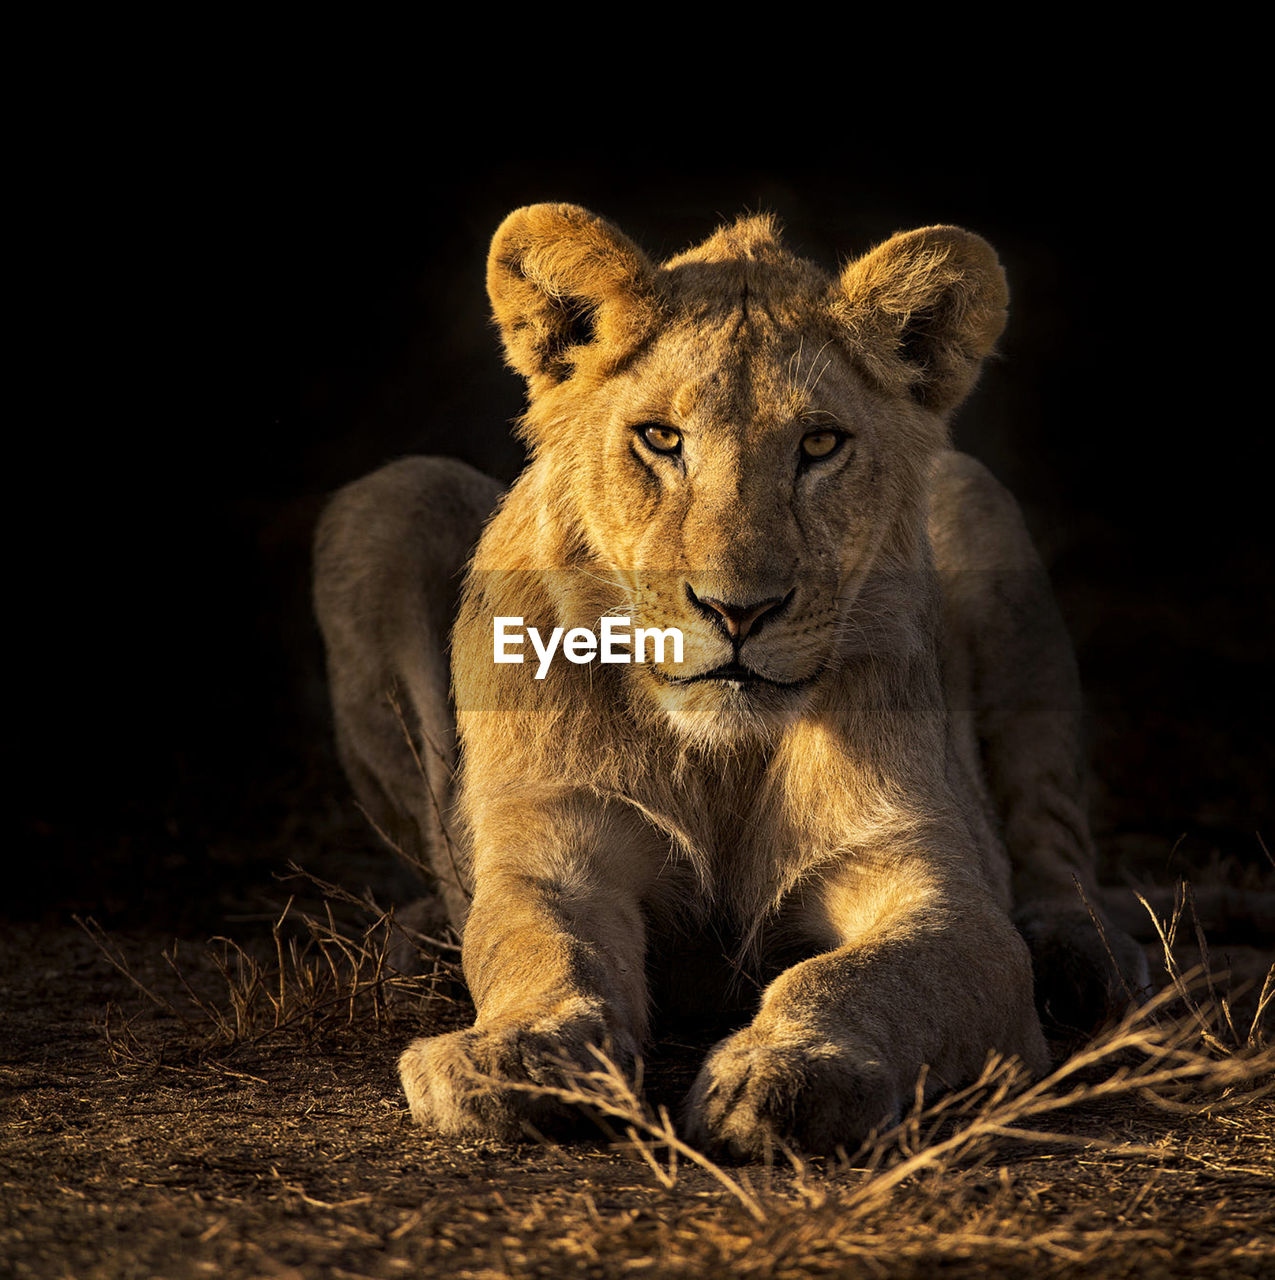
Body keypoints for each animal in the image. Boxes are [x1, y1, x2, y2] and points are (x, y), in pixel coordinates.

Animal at [313, 204, 1152, 1157]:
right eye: (660, 438)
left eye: (819, 444)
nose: (738, 611)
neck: (719, 757)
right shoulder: (555, 847)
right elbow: (537, 944)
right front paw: (516, 1055)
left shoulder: (928, 879)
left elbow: (861, 974)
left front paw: (787, 1072)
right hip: (388, 500)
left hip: (979, 507)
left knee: (1052, 843)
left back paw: (1089, 961)